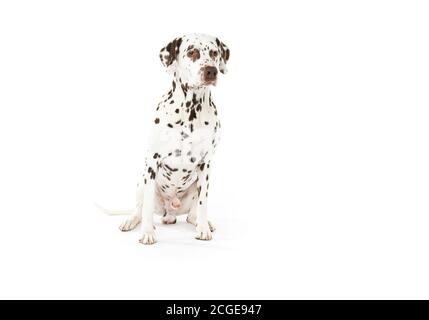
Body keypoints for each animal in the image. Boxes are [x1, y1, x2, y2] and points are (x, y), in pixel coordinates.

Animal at [115, 34, 227, 245]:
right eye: (192, 52)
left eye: (214, 53)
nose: (211, 71)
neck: (190, 111)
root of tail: (170, 212)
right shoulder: (152, 161)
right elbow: (147, 208)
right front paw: (147, 232)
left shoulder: (206, 164)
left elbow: (203, 204)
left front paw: (203, 228)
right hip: (141, 182)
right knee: (139, 210)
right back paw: (131, 221)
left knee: (192, 215)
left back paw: (203, 222)